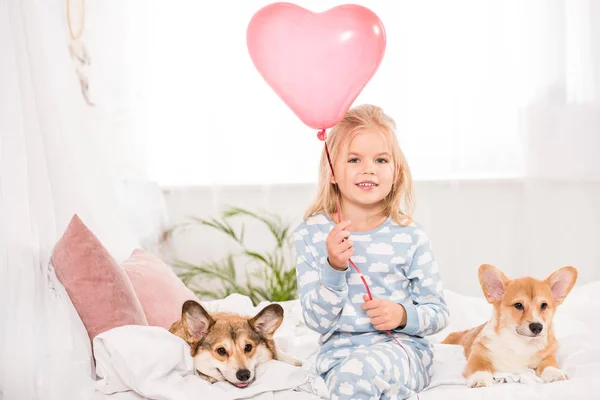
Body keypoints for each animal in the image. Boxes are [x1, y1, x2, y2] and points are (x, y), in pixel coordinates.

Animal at [442, 264, 580, 390]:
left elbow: (549, 363)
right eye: (518, 305)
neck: (521, 343)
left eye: (544, 305)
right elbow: (480, 367)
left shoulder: (548, 355)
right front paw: (480, 379)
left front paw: (555, 373)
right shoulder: (478, 354)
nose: (537, 327)